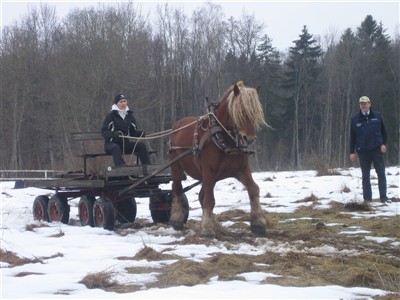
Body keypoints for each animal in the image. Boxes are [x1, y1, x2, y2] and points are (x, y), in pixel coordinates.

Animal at [167, 81, 270, 238]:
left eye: (255, 112)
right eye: (240, 112)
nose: (248, 138)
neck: (223, 138)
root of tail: (177, 124)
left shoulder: (241, 169)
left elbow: (253, 189)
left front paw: (258, 223)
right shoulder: (208, 171)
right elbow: (209, 200)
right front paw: (207, 229)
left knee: (201, 195)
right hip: (177, 166)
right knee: (177, 189)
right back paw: (177, 220)